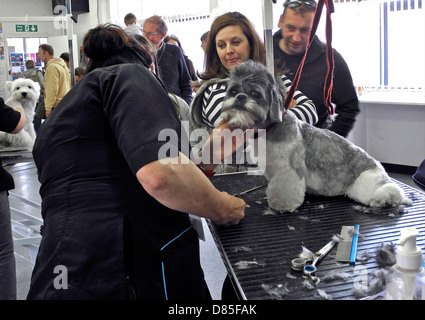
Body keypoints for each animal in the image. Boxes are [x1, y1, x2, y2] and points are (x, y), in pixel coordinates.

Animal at [220, 62, 410, 212]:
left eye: (255, 94)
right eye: (233, 91)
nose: (240, 97)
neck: (270, 129)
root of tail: (378, 166)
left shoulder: (288, 171)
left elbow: (284, 189)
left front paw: (281, 205)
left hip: (366, 183)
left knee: (391, 190)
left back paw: (384, 199)